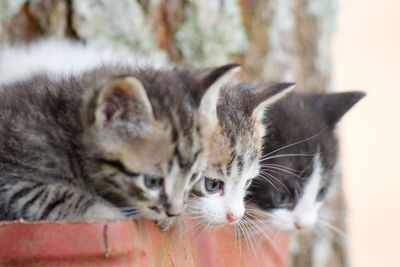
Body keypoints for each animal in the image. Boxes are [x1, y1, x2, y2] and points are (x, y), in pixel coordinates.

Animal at [0, 62, 238, 222]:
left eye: (193, 177)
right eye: (152, 181)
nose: (174, 212)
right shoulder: (12, 175)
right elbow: (57, 194)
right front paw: (109, 214)